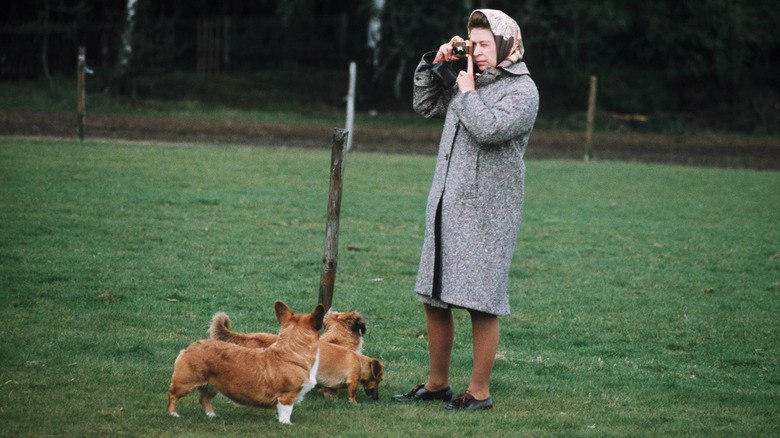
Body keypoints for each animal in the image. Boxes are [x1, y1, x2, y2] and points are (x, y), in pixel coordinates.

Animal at [166, 302, 324, 424]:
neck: (291, 352)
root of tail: (189, 347)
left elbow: (278, 411)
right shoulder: (287, 396)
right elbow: (286, 411)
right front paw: (286, 424)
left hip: (212, 386)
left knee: (204, 399)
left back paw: (212, 415)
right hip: (185, 383)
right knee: (172, 395)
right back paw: (173, 414)